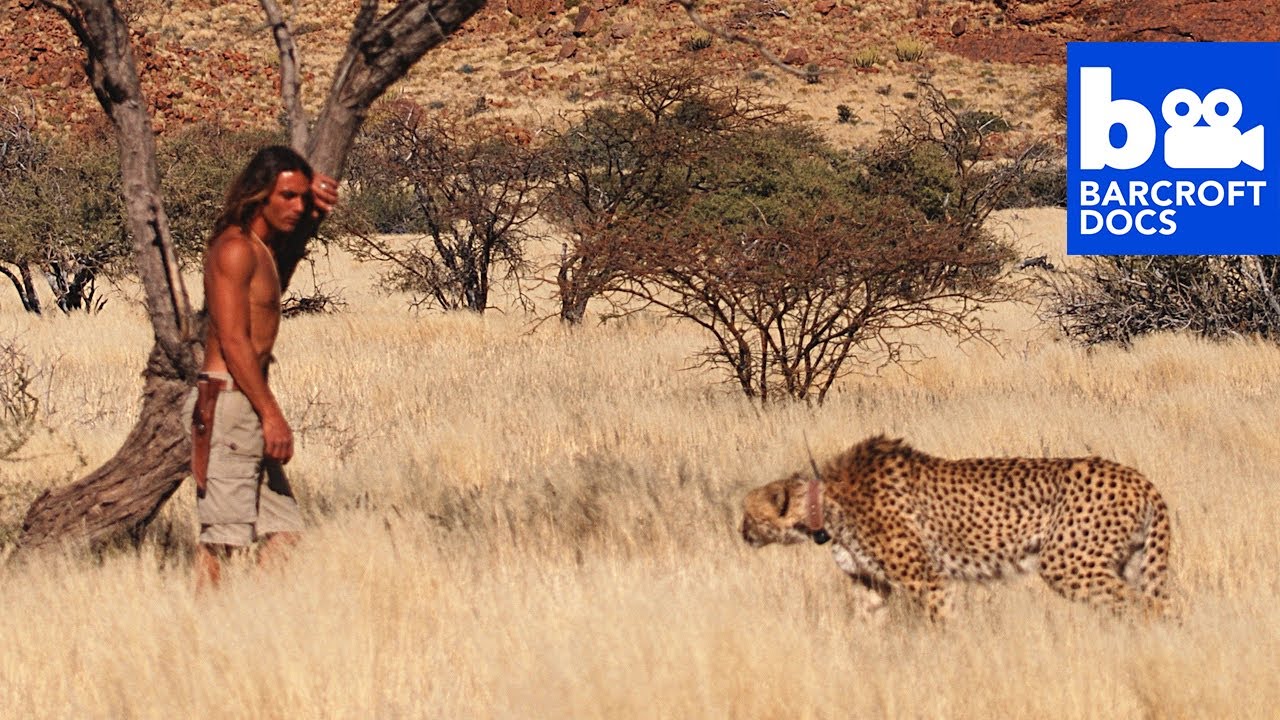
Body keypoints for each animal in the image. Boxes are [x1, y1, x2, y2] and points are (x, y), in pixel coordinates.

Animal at [741, 435, 1172, 622]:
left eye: (748, 514)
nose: (741, 534)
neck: (824, 503)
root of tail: (1139, 477)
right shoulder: (871, 582)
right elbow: (865, 622)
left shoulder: (925, 578)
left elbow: (942, 621)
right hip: (1127, 562)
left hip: (1069, 564)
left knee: (1149, 606)